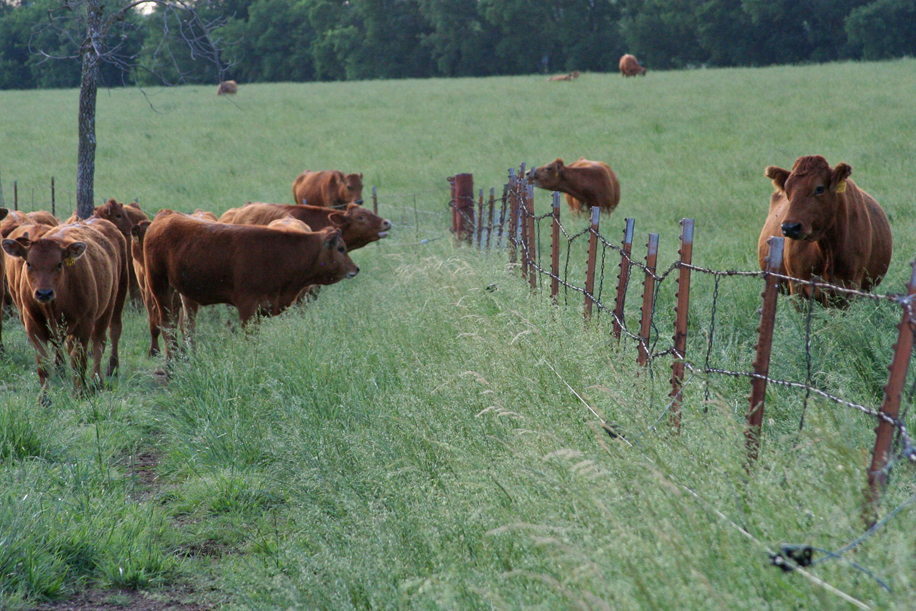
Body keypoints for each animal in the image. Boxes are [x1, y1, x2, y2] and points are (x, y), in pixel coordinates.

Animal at [142, 214, 358, 360]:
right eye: (341, 248)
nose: (355, 269)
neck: (281, 253)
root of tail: (165, 217)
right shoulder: (247, 306)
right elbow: (250, 338)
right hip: (160, 287)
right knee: (167, 324)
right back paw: (171, 363)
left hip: (185, 295)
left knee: (187, 325)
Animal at [760, 154, 896, 304]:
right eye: (787, 190)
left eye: (819, 188)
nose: (790, 227)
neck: (828, 248)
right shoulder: (797, 286)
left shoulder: (850, 288)